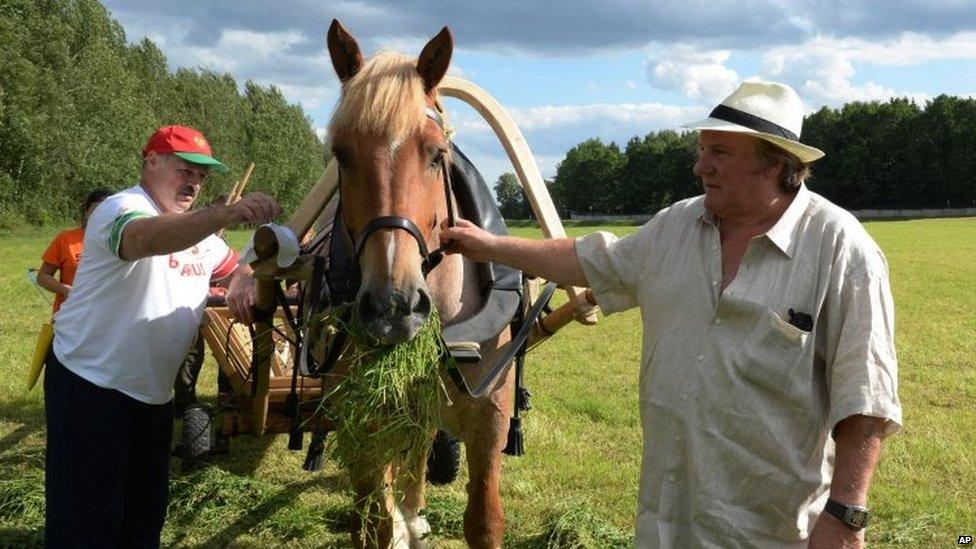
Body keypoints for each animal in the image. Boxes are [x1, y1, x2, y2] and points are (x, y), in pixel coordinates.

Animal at [322, 18, 520, 548]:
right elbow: (372, 522)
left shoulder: (489, 422)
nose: (393, 307)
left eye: (436, 154)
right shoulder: (363, 423)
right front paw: (393, 521)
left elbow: (485, 520)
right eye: (341, 155)